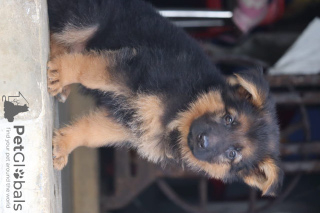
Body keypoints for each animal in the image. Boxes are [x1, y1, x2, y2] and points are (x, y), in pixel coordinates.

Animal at [47, 0, 282, 196]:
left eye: (232, 154)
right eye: (228, 119)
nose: (202, 141)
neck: (186, 104)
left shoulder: (128, 125)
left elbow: (91, 132)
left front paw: (64, 144)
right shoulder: (135, 68)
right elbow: (89, 72)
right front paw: (64, 72)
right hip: (91, 18)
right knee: (64, 28)